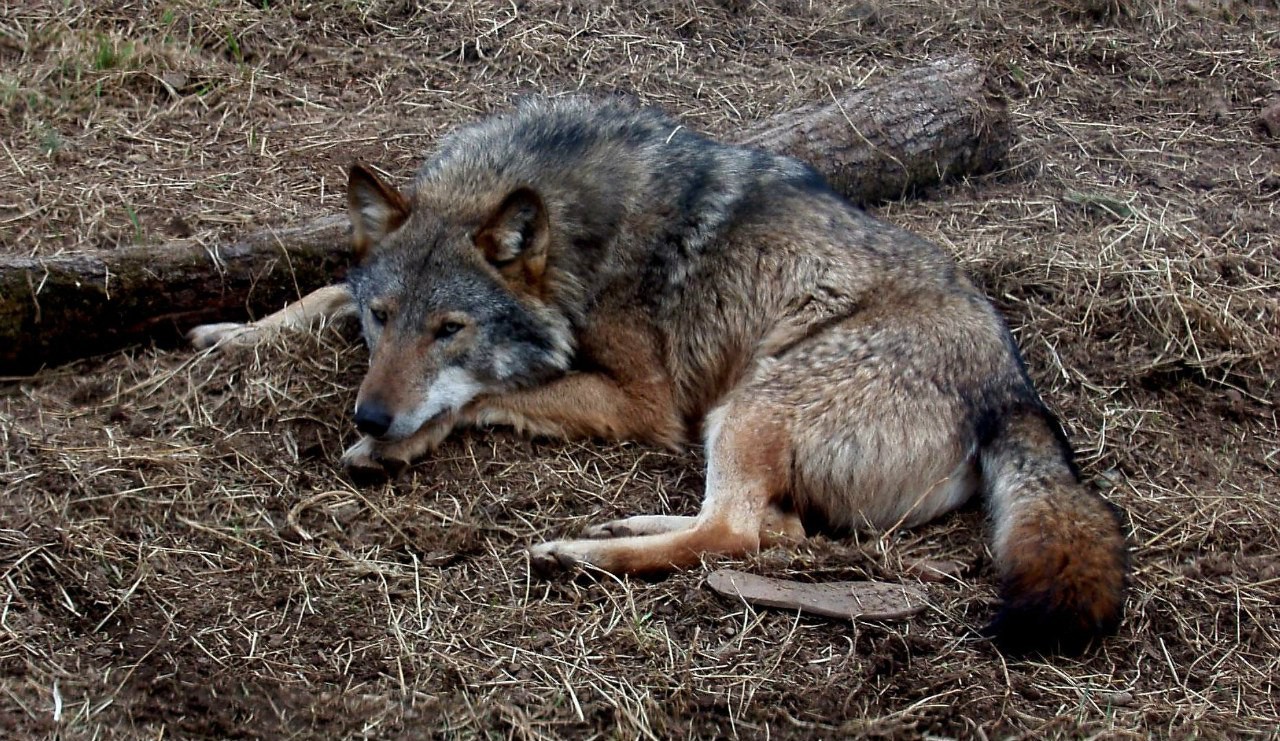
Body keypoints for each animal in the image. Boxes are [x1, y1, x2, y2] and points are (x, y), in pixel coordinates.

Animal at [189, 94, 1131, 655]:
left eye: (450, 330)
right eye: (384, 318)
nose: (372, 416)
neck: (577, 229)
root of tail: (1017, 393)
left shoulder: (643, 402)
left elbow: (491, 391)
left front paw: (399, 445)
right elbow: (319, 289)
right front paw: (232, 333)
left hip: (748, 404)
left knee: (734, 532)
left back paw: (578, 553)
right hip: (741, 425)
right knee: (773, 527)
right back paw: (623, 524)